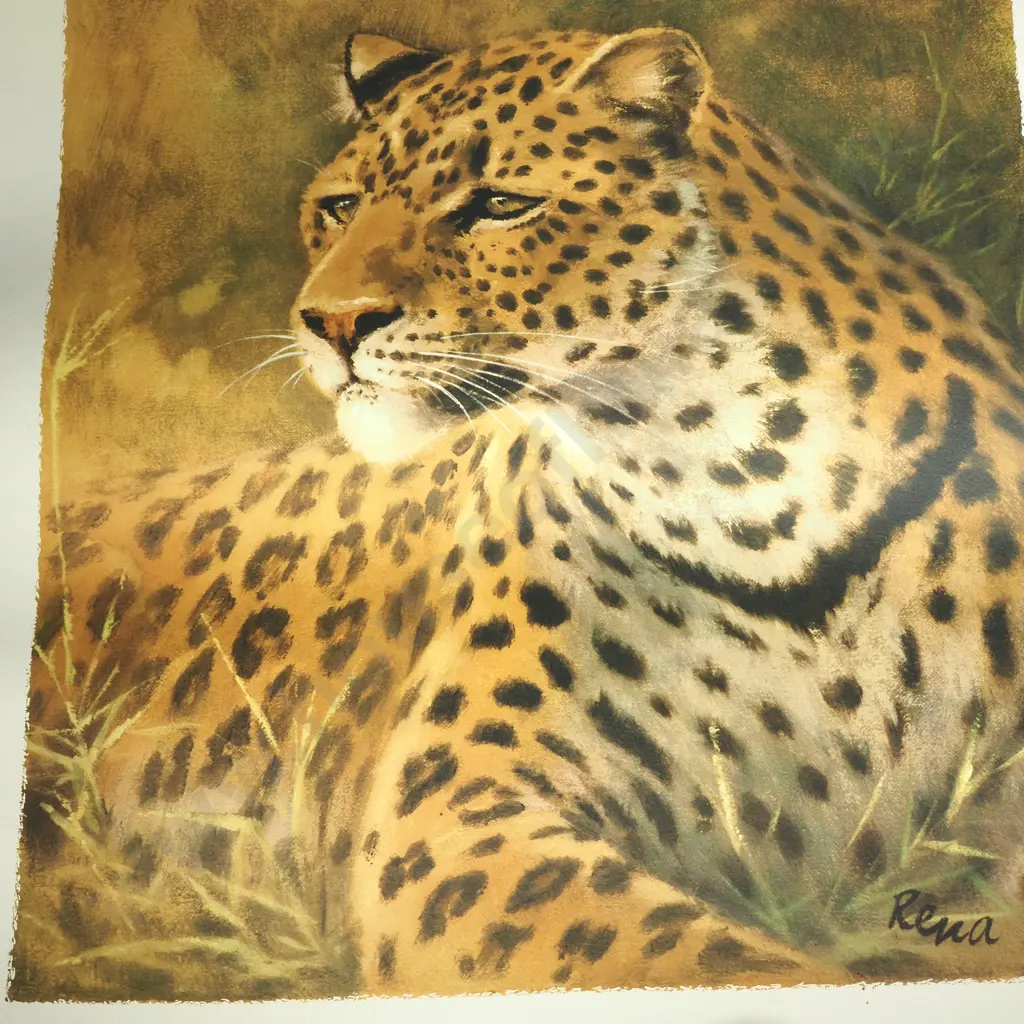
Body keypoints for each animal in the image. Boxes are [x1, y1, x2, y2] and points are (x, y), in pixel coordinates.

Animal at [11, 25, 1024, 1002]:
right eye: (340, 206)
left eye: (499, 204)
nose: (331, 322)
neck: (748, 492)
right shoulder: (456, 799)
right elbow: (658, 946)